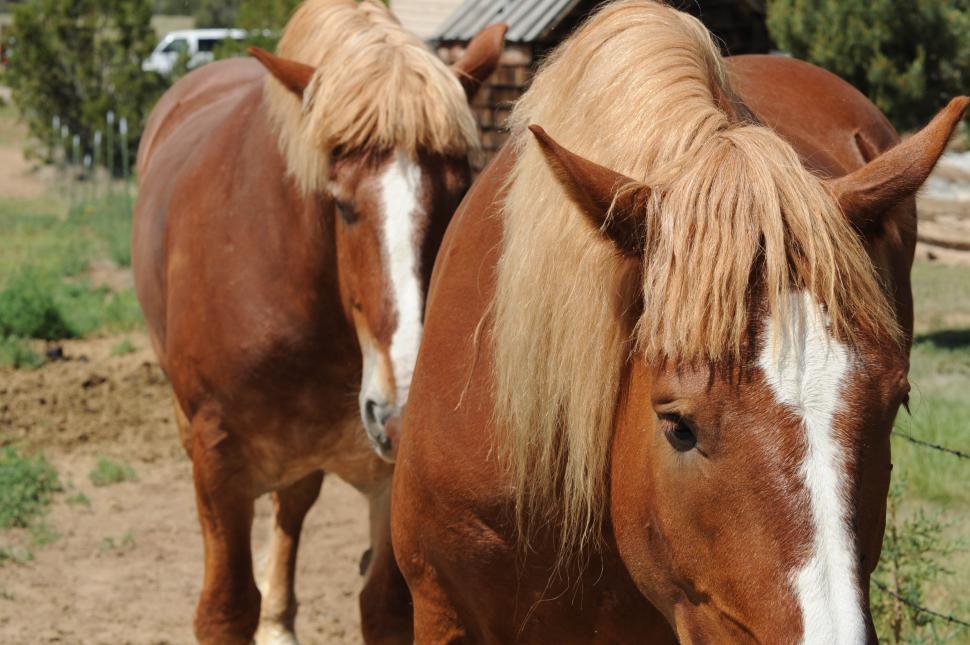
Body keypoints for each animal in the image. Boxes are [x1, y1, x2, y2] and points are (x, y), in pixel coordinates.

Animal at [132, 0, 504, 642]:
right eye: (342, 204)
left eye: (458, 193)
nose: (400, 413)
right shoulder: (219, 462)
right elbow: (226, 608)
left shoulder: (387, 479)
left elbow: (384, 607)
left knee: (293, 506)